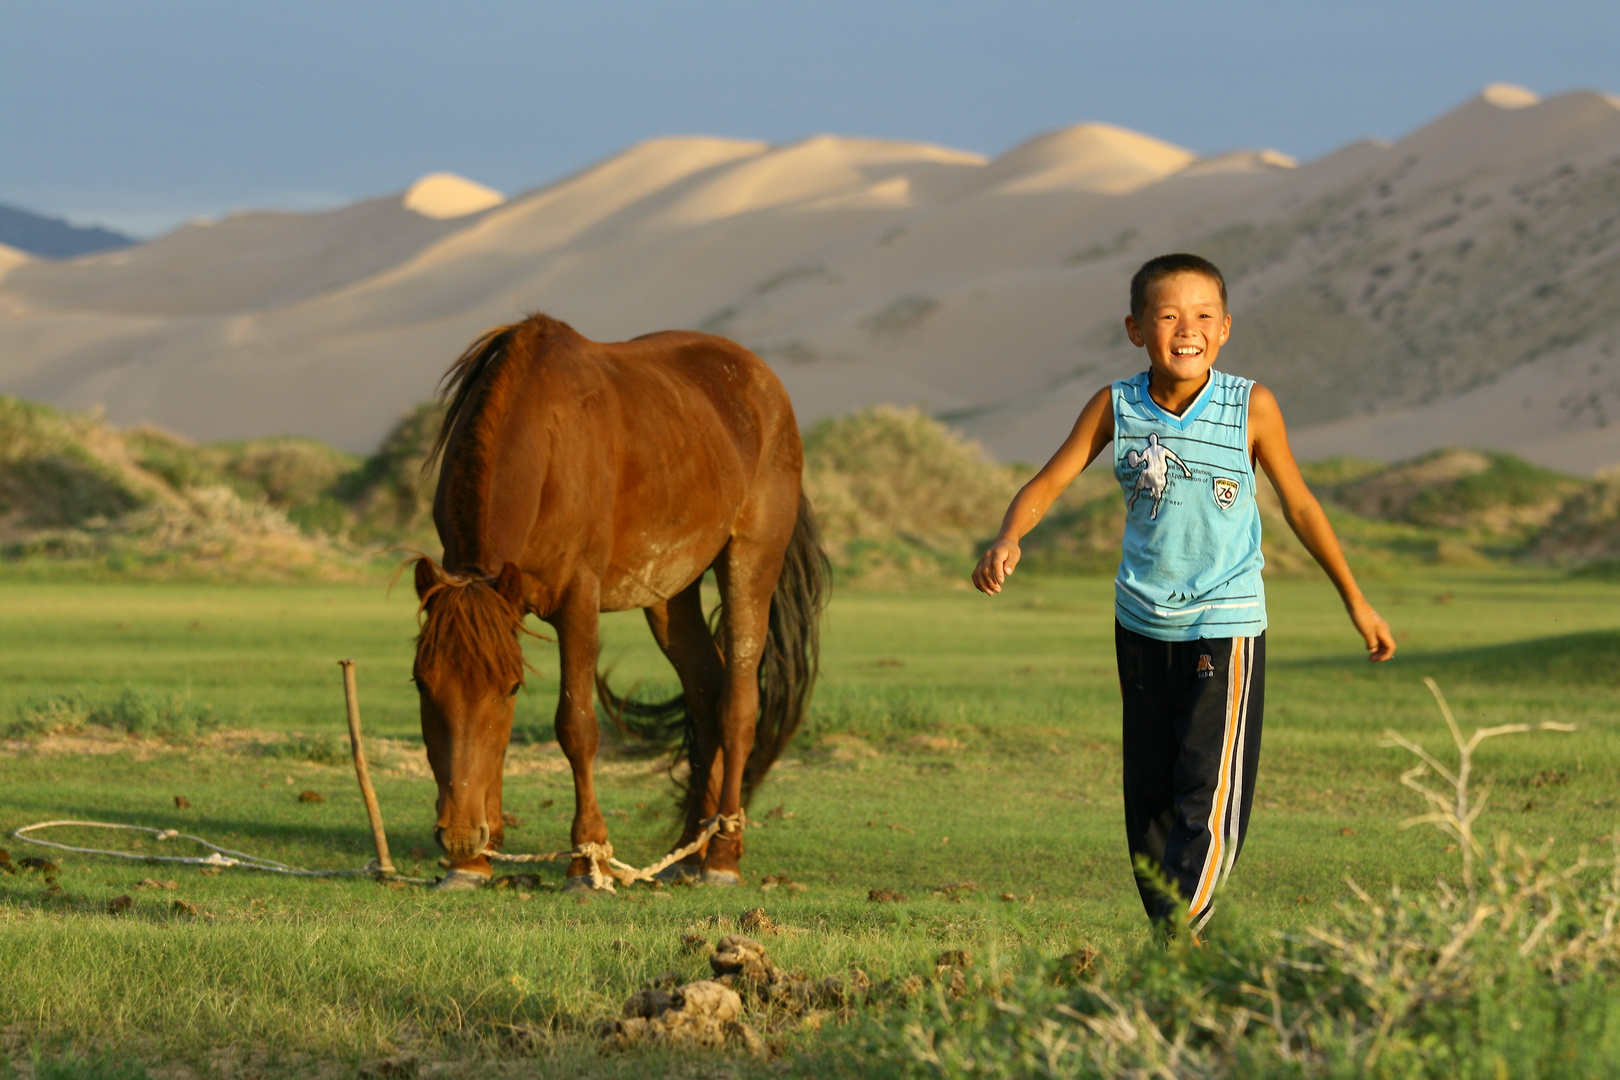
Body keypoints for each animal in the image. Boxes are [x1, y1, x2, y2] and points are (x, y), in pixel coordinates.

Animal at [411, 317, 829, 893]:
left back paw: (722, 855)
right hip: (670, 594)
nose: (457, 836)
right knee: (706, 692)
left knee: (738, 705)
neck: (544, 440)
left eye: (510, 687)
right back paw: (688, 851)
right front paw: (475, 863)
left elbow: (577, 727)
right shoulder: (506, 603)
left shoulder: (577, 600)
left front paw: (587, 861)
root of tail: (762, 382)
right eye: (421, 683)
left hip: (751, 561)